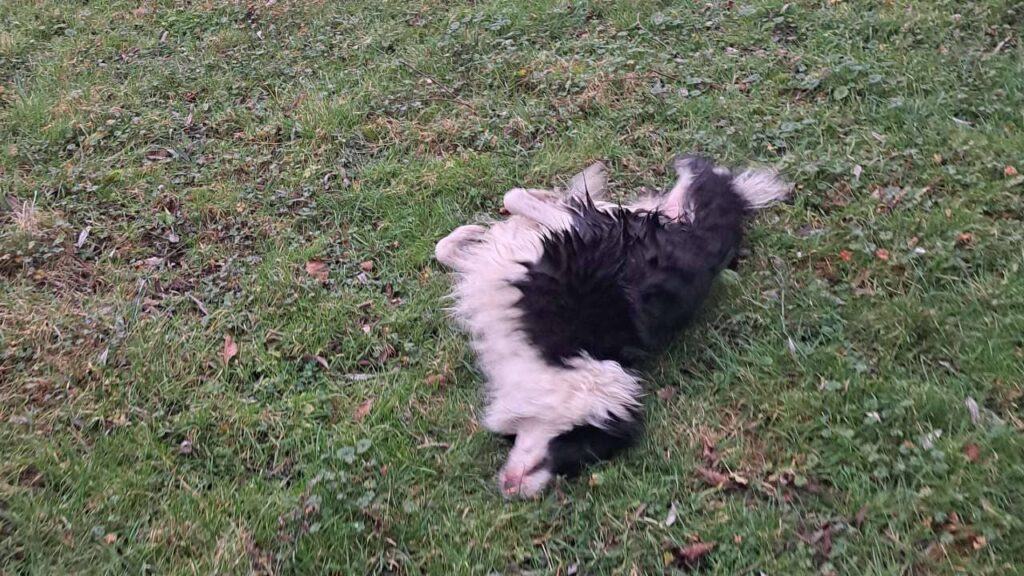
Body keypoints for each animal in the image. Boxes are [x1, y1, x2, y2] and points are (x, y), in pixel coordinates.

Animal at [436, 154, 786, 496]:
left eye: (582, 454)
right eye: (576, 442)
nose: (517, 493)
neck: (576, 355)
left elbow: (522, 204)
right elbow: (465, 235)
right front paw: (476, 232)